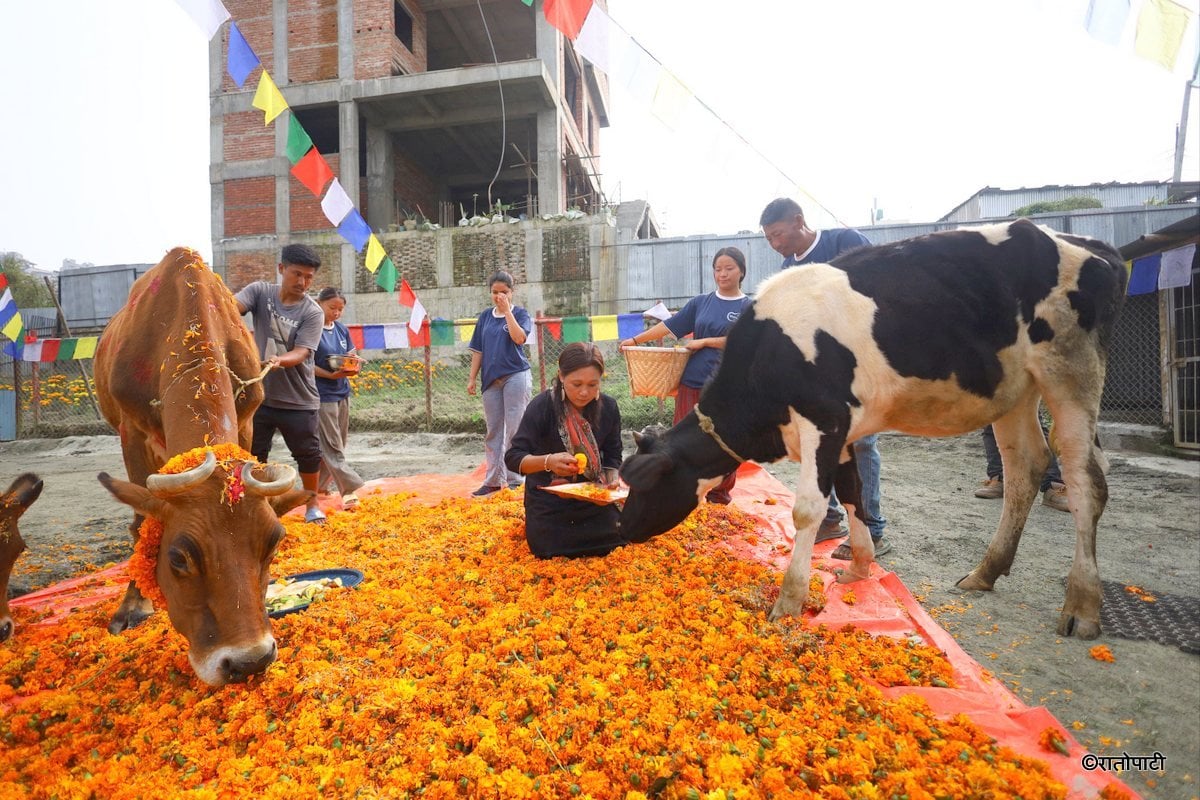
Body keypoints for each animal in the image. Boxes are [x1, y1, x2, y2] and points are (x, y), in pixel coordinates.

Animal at [95, 247, 309, 686]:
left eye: (274, 541)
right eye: (178, 557)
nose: (248, 662)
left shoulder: (247, 421)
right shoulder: (131, 432)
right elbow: (141, 521)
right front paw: (133, 606)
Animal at [619, 217, 1123, 638]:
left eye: (644, 483)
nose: (623, 530)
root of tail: (1089, 244)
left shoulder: (824, 419)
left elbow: (808, 509)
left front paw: (789, 600)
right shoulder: (844, 433)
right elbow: (853, 490)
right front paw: (859, 567)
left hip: (1071, 373)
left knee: (1085, 478)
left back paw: (1081, 606)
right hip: (1016, 391)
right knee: (1025, 468)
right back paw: (985, 572)